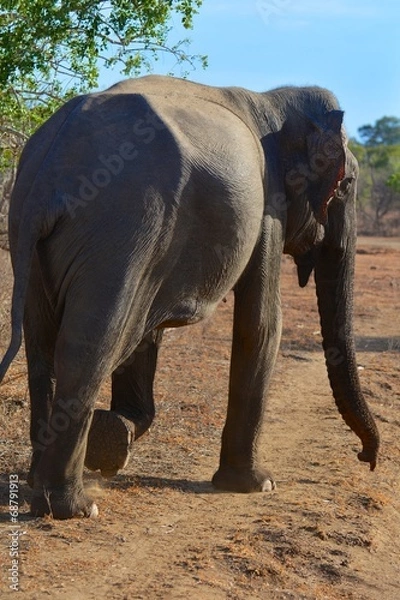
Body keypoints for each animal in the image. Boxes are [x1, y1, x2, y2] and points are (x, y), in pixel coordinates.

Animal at [0, 74, 380, 516]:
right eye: (347, 185)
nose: (366, 458)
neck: (276, 101)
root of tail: (50, 166)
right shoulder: (268, 205)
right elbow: (263, 323)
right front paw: (256, 485)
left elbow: (148, 332)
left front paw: (116, 436)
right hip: (122, 227)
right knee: (93, 341)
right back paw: (72, 507)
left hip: (38, 235)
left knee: (45, 344)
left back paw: (37, 483)